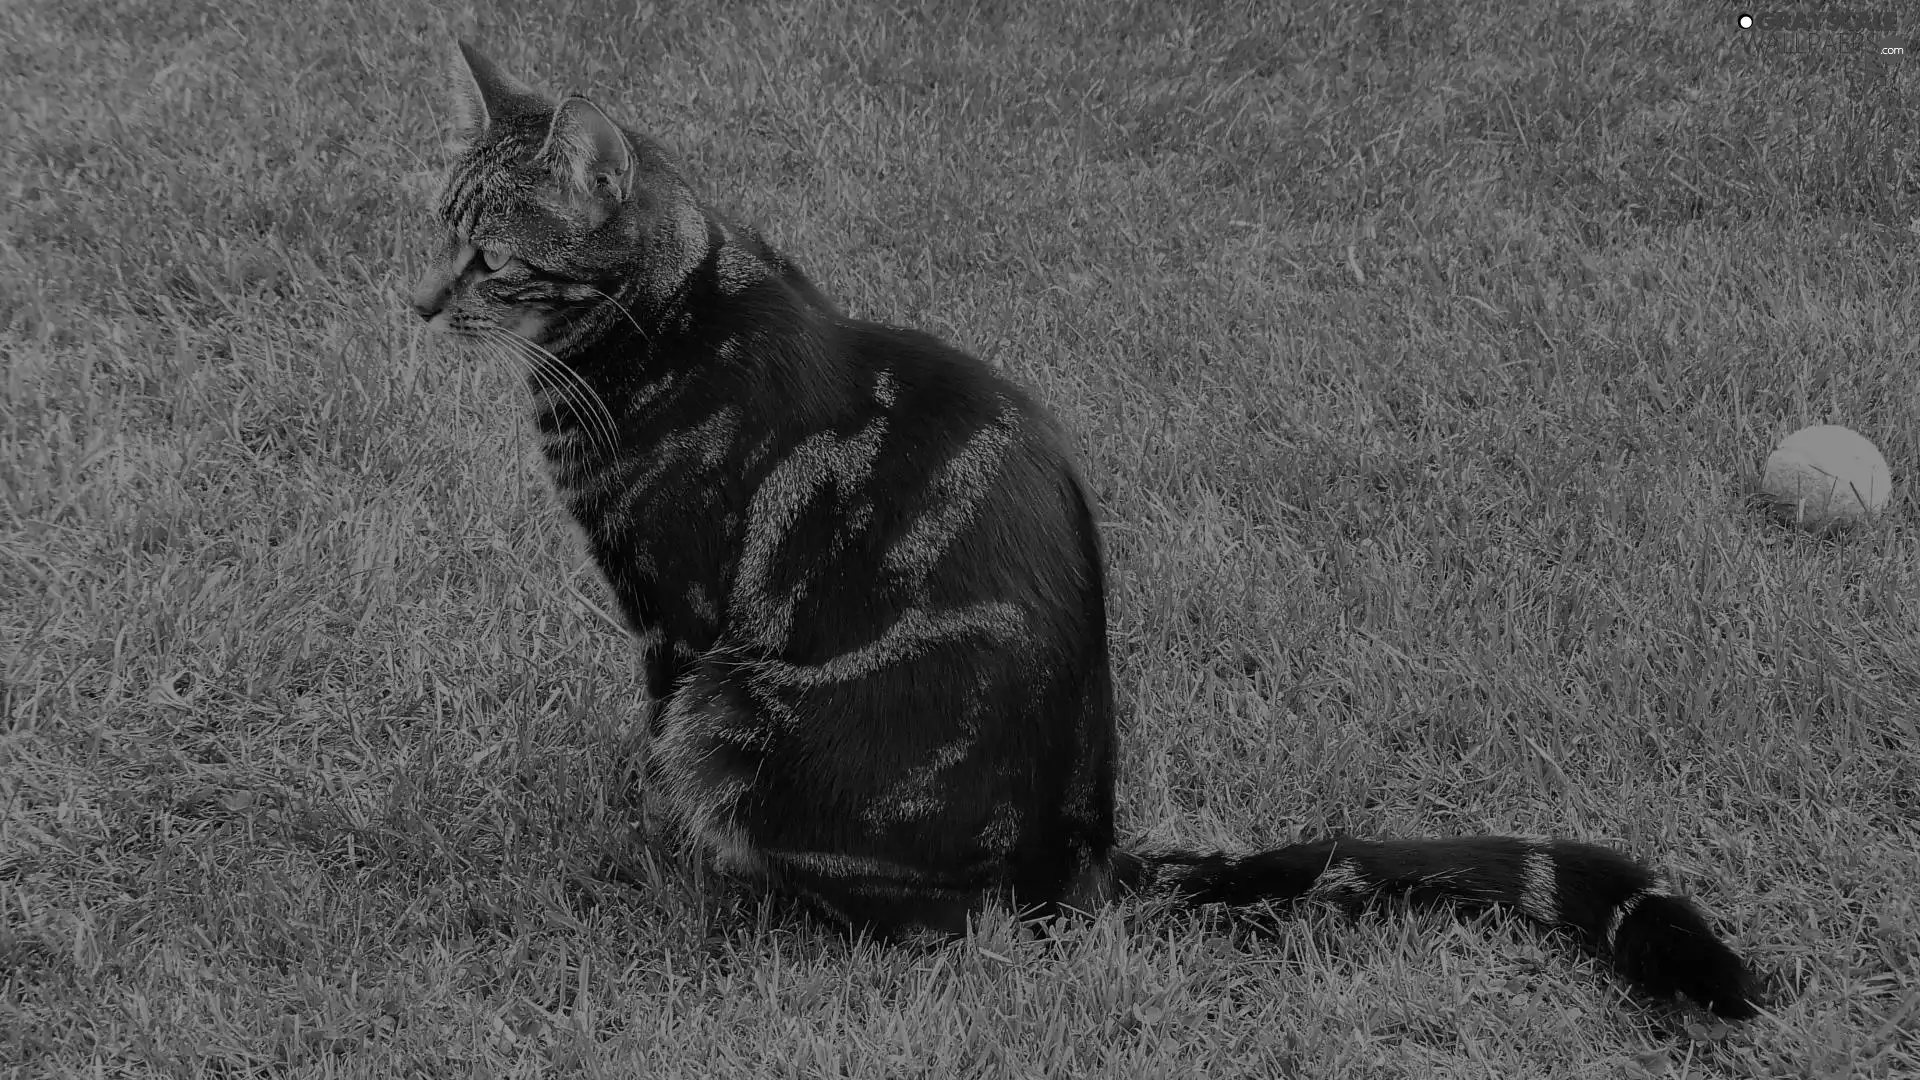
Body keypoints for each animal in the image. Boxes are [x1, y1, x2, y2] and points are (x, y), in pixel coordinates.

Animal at [412, 42, 1758, 1014]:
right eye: (435, 228)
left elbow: (655, 754)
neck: (669, 311)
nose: (417, 304)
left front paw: (654, 864)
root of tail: (1085, 856)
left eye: (490, 259)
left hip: (733, 709)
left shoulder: (676, 621)